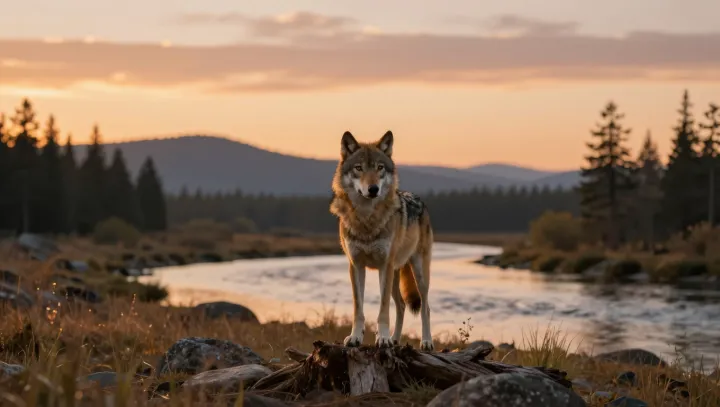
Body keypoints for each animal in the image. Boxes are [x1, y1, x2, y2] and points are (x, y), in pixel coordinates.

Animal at [329, 130, 434, 351]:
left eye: (380, 167)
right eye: (359, 168)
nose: (373, 189)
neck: (367, 219)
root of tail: (419, 199)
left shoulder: (384, 265)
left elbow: (383, 309)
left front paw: (383, 338)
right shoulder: (356, 265)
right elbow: (358, 309)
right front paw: (356, 337)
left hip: (418, 273)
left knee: (425, 307)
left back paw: (426, 341)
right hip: (395, 274)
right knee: (401, 305)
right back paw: (395, 339)